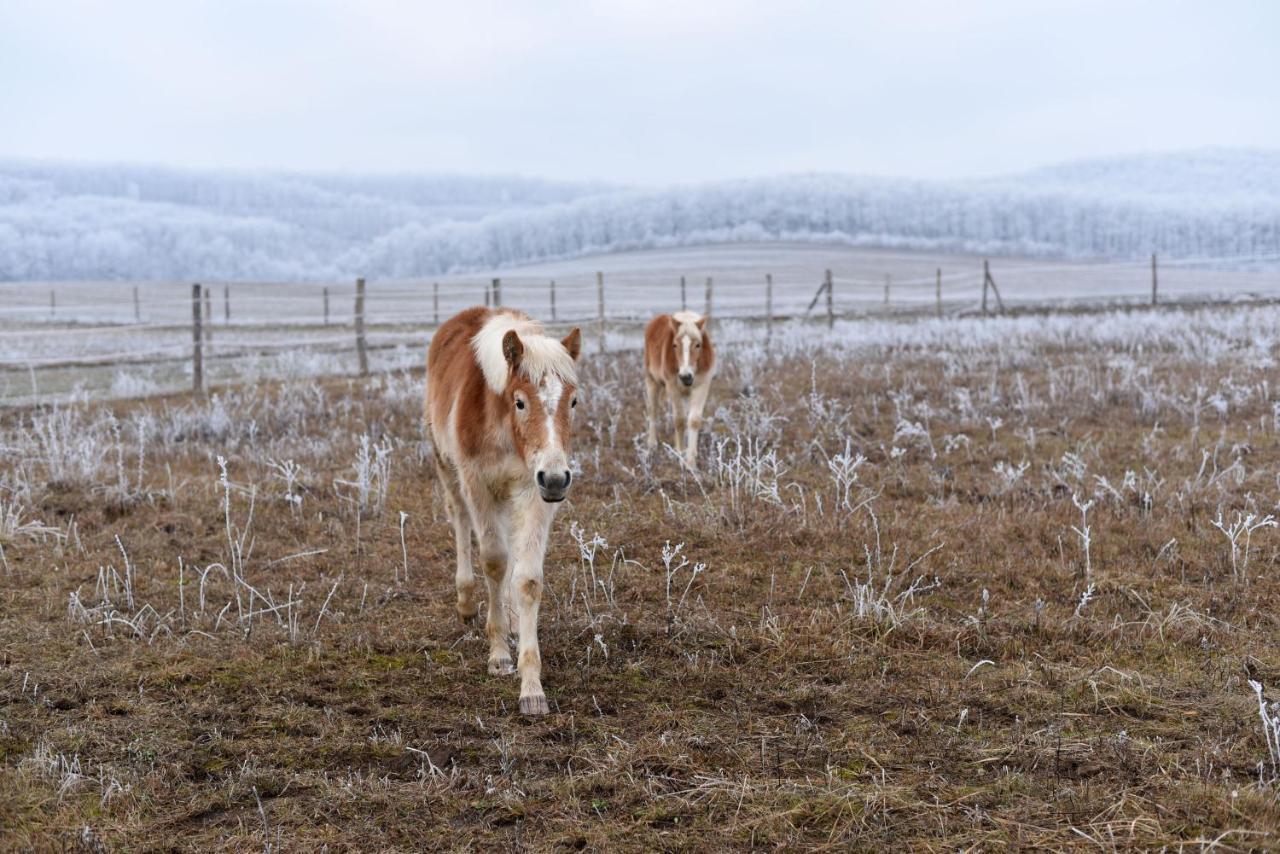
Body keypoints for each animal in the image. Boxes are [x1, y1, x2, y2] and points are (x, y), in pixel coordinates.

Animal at [424, 303, 586, 717]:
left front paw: (531, 688)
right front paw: (498, 656)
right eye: (520, 401)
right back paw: (467, 603)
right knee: (460, 521)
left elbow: (526, 577)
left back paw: (513, 621)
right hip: (448, 470)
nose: (557, 479)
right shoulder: (477, 483)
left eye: (573, 401)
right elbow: (494, 562)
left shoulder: (532, 490)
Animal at [645, 308, 716, 468]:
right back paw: (652, 445)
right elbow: (679, 420)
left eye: (698, 345)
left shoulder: (702, 386)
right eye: (674, 345)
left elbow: (693, 420)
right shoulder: (673, 387)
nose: (685, 376)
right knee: (653, 410)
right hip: (652, 381)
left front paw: (691, 461)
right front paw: (680, 453)